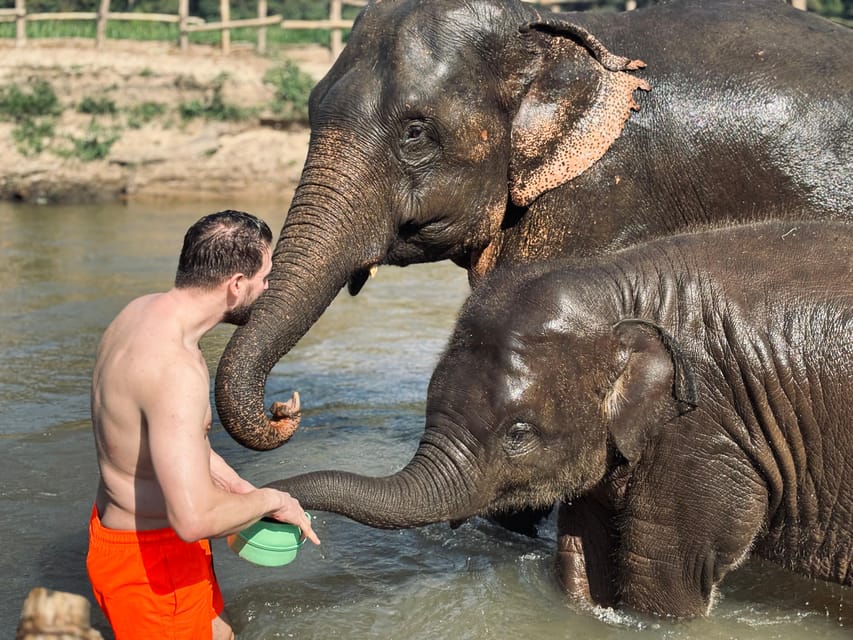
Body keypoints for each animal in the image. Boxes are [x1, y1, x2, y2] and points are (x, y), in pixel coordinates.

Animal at [267, 219, 853, 618]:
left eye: (519, 433)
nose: (279, 511)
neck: (621, 285)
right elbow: (580, 555)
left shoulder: (705, 432)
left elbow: (666, 574)